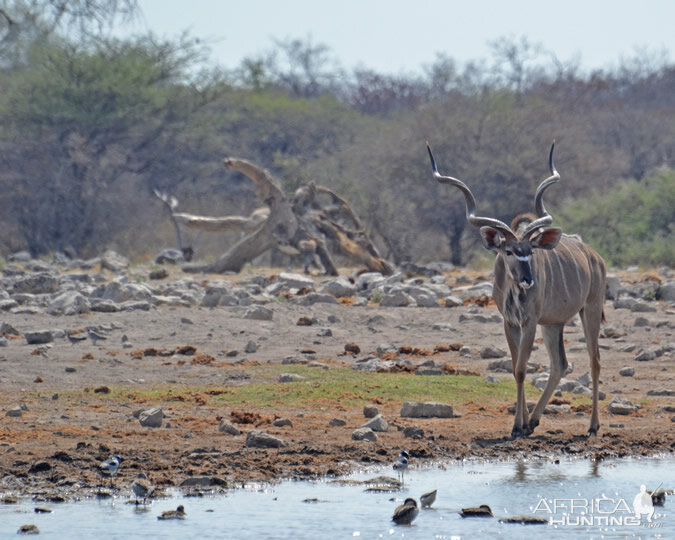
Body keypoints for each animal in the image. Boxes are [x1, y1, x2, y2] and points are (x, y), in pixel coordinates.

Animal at [428, 141, 608, 436]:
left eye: (530, 251)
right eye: (509, 251)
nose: (527, 280)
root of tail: (595, 257)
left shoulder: (530, 321)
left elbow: (523, 369)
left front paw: (517, 426)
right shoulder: (510, 322)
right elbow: (516, 368)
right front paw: (522, 423)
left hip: (590, 309)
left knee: (594, 361)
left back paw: (593, 426)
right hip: (554, 324)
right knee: (560, 364)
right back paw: (534, 420)